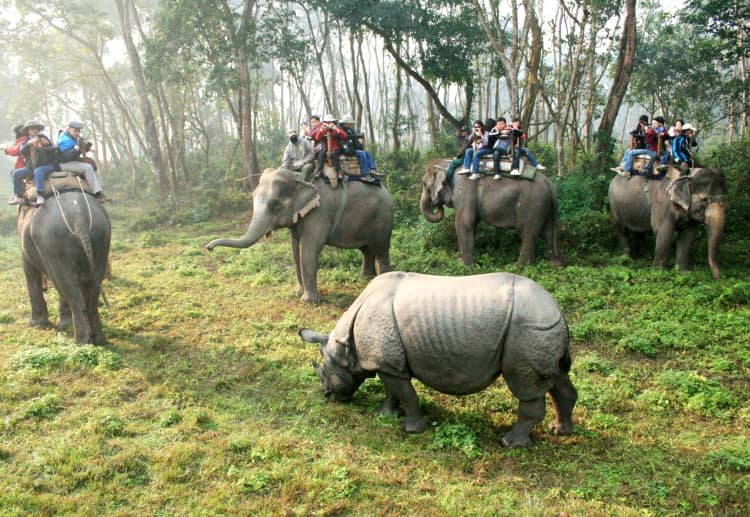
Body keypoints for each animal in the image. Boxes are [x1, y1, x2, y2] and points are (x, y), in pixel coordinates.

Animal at [17, 188, 110, 342]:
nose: (45, 288)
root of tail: (79, 217)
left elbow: (30, 273)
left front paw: (36, 325)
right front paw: (64, 325)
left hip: (54, 244)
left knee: (67, 286)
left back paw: (81, 341)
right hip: (101, 239)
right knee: (92, 287)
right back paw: (98, 339)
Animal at [206, 167, 394, 300]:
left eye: (275, 204)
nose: (208, 247)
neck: (300, 179)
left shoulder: (320, 212)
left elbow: (308, 249)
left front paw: (309, 301)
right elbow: (295, 249)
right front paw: (298, 293)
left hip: (383, 218)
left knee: (380, 249)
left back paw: (383, 280)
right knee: (366, 249)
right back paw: (366, 278)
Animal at [296, 270, 580, 448]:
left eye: (324, 373)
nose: (326, 395)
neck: (346, 346)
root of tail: (557, 310)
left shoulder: (387, 361)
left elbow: (407, 395)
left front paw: (411, 429)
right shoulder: (388, 362)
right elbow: (393, 391)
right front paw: (384, 415)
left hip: (528, 329)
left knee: (526, 387)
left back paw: (510, 443)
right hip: (541, 329)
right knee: (557, 377)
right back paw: (561, 430)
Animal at [424, 159, 564, 266]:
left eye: (424, 184)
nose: (435, 204)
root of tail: (549, 184)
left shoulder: (464, 191)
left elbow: (464, 223)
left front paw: (466, 266)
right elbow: (473, 225)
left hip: (532, 205)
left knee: (528, 234)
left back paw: (518, 266)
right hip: (545, 207)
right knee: (548, 233)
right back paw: (556, 264)